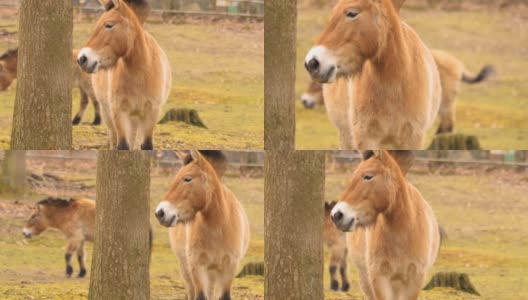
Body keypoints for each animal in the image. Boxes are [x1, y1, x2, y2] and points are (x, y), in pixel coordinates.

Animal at [78, 0, 171, 150]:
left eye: (109, 25)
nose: (82, 59)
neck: (140, 74)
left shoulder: (151, 113)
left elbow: (146, 145)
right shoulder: (119, 112)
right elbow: (122, 145)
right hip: (108, 114)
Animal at [155, 150, 250, 300]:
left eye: (187, 179)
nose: (160, 212)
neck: (218, 228)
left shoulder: (229, 267)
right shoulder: (197, 267)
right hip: (186, 269)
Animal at [330, 151, 442, 298]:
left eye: (368, 176)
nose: (336, 215)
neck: (404, 233)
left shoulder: (415, 279)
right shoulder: (379, 278)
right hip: (365, 280)